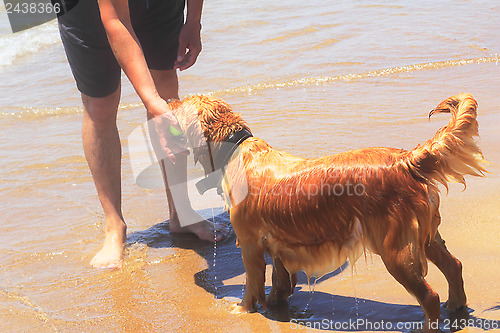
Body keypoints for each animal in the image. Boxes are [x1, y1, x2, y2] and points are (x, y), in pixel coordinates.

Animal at [169, 92, 484, 330]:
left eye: (182, 105)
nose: (169, 100)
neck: (237, 150)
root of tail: (407, 159)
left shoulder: (249, 244)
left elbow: (251, 285)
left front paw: (242, 310)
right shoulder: (278, 242)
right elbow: (279, 280)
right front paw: (276, 303)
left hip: (394, 250)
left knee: (429, 296)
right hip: (425, 234)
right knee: (454, 266)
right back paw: (457, 306)